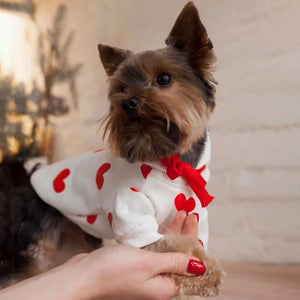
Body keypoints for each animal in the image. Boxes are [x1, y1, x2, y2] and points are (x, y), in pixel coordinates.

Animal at [0, 1, 223, 298]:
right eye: (121, 88)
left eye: (164, 78)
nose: (128, 103)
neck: (171, 162)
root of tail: (29, 173)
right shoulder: (132, 215)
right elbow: (179, 244)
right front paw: (206, 271)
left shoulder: (196, 214)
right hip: (37, 232)